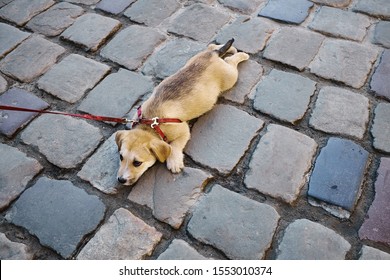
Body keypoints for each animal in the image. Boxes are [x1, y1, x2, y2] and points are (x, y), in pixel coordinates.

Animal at [116, 38, 250, 185]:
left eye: (137, 163)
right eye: (121, 157)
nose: (120, 180)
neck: (149, 124)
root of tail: (213, 56)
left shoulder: (183, 130)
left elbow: (174, 146)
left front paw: (174, 161)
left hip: (230, 77)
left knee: (231, 60)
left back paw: (241, 55)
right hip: (197, 57)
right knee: (212, 46)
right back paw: (227, 48)